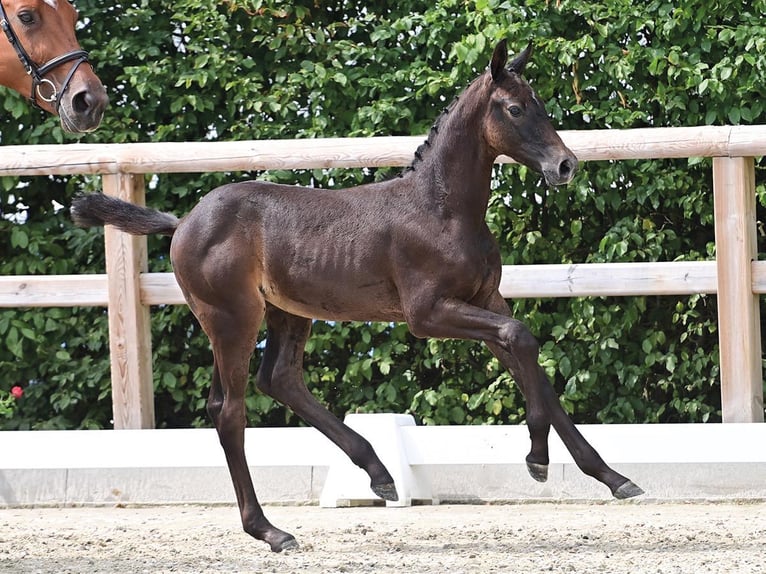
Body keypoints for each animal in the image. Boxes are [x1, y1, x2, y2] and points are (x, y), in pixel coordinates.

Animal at [71, 39, 643, 552]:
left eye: (539, 103)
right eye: (515, 108)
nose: (565, 165)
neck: (441, 209)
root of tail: (183, 222)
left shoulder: (486, 300)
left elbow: (532, 365)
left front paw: (610, 476)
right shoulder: (427, 314)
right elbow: (522, 338)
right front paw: (538, 459)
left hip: (285, 313)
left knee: (279, 379)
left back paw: (378, 473)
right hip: (233, 317)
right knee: (228, 409)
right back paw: (272, 531)